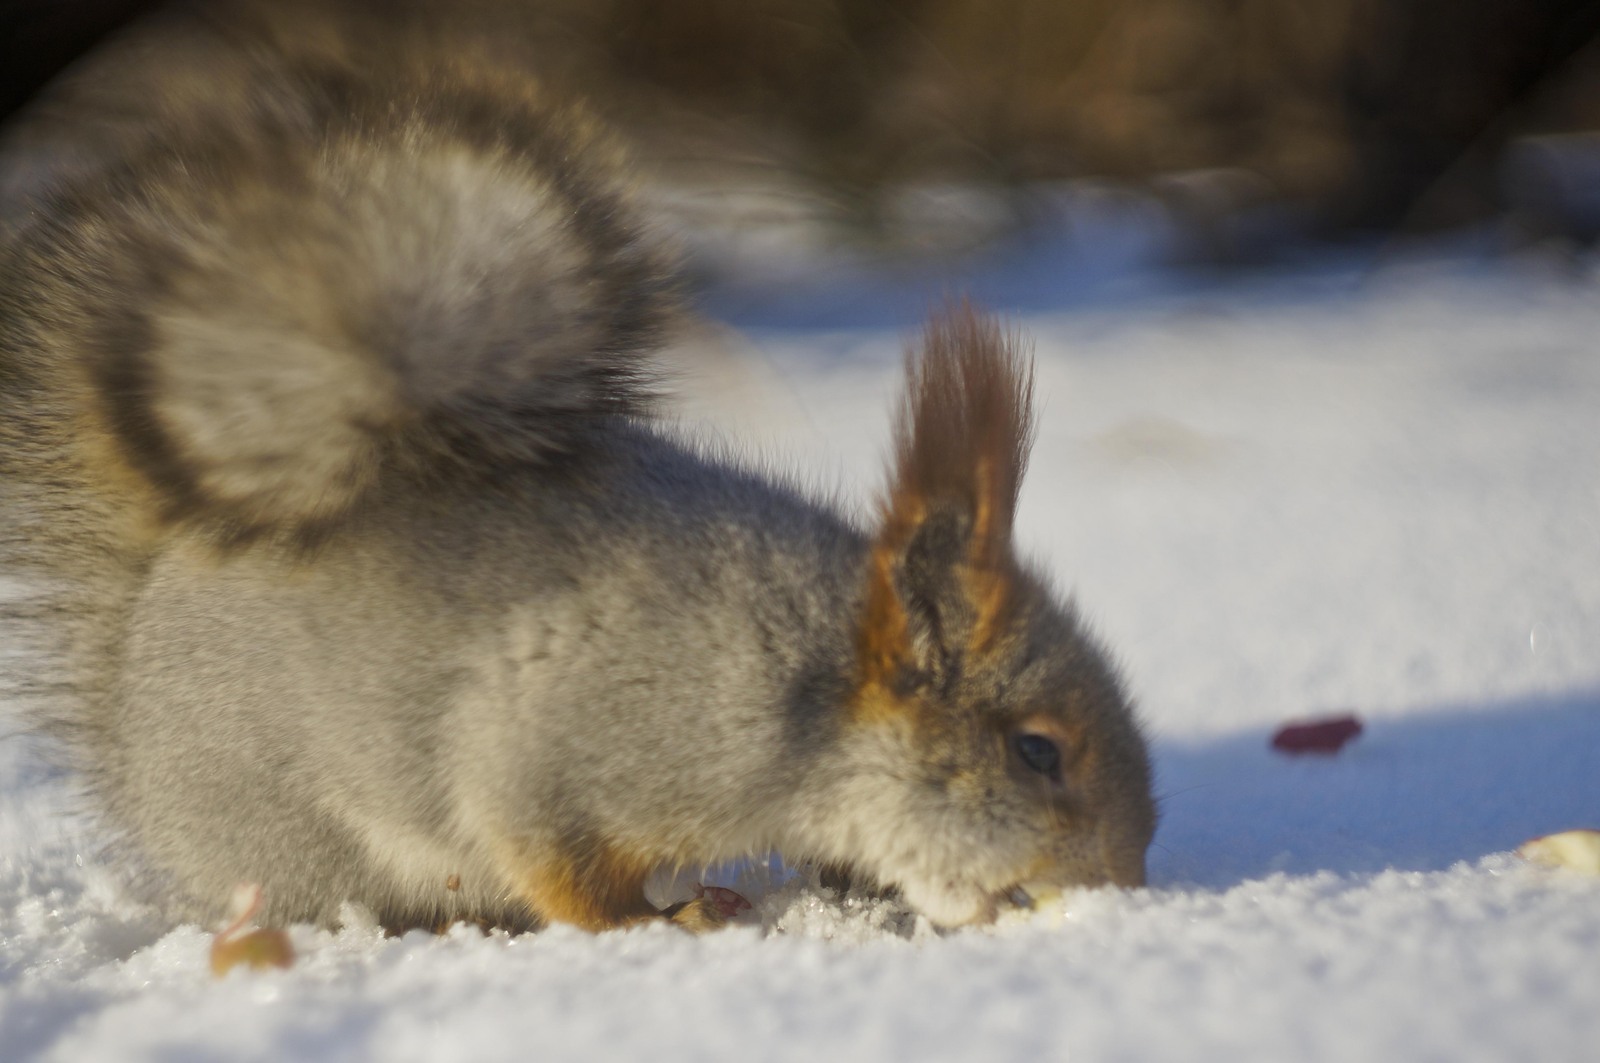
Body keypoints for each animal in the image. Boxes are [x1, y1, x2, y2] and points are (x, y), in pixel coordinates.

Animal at [0, 0, 1152, 928]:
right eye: (1037, 750)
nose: (1124, 880)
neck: (813, 691)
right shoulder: (567, 738)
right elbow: (557, 860)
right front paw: (654, 923)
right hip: (283, 822)